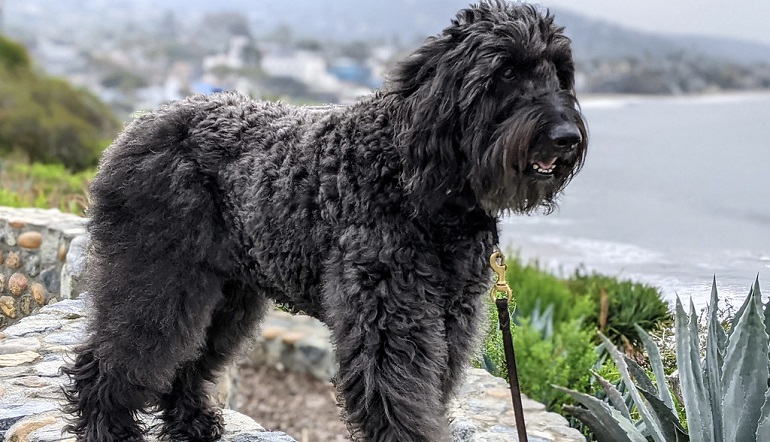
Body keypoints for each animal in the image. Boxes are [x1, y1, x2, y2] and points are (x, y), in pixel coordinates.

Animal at [63, 1, 584, 440]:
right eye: (506, 71)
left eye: (560, 74)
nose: (567, 138)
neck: (415, 179)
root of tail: (136, 129)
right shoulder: (389, 319)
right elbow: (399, 403)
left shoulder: (448, 319)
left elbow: (429, 395)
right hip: (157, 279)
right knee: (115, 356)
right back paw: (109, 427)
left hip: (227, 295)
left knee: (188, 359)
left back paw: (193, 423)